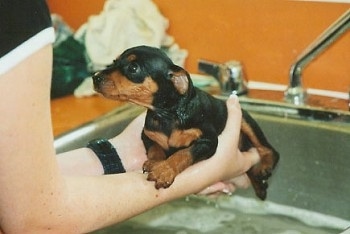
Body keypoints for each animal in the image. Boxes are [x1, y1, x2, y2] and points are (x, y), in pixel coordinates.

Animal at [92, 46, 278, 201]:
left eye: (133, 68)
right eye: (114, 62)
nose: (95, 77)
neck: (167, 114)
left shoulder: (208, 141)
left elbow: (183, 153)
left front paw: (165, 171)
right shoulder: (147, 135)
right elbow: (155, 148)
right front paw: (155, 162)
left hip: (247, 122)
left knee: (268, 149)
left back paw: (265, 167)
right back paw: (260, 185)